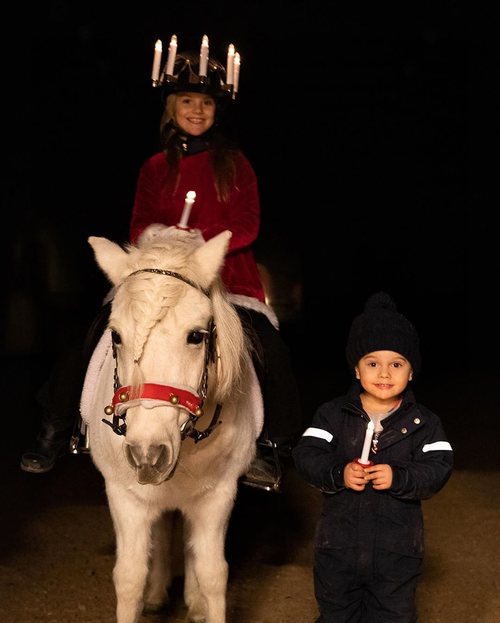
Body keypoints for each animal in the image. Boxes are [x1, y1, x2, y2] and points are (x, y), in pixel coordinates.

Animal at [80, 227, 264, 623]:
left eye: (196, 335)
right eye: (116, 336)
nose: (147, 455)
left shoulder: (217, 495)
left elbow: (213, 574)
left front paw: (201, 599)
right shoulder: (125, 495)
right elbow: (129, 576)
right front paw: (147, 592)